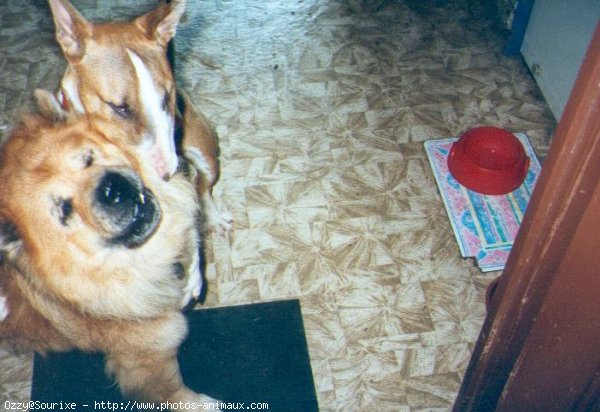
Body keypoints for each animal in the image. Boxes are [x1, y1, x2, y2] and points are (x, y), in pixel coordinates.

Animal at [0, 113, 220, 408]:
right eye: (65, 210)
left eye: (89, 158)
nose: (111, 188)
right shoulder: (146, 357)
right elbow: (173, 391)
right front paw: (203, 404)